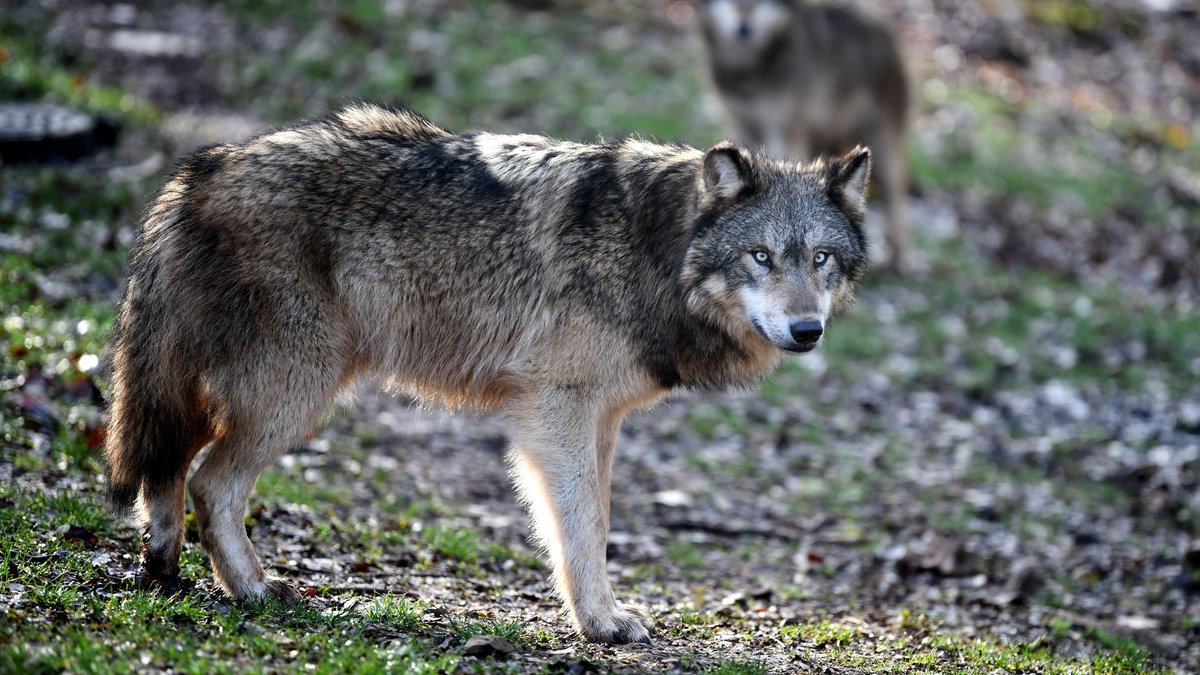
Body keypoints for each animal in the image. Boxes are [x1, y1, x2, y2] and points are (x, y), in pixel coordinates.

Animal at [104, 103, 870, 644]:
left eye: (822, 259)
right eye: (761, 257)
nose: (808, 330)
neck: (653, 250)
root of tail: (203, 168)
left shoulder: (599, 420)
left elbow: (589, 522)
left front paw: (596, 613)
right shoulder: (558, 411)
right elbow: (585, 524)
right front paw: (601, 623)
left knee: (167, 473)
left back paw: (165, 571)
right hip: (294, 392)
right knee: (209, 483)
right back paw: (257, 592)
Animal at [696, 0, 910, 269]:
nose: (744, 27)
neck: (752, 68)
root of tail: (883, 28)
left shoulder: (786, 131)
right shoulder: (741, 124)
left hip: (883, 147)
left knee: (897, 196)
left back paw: (898, 258)